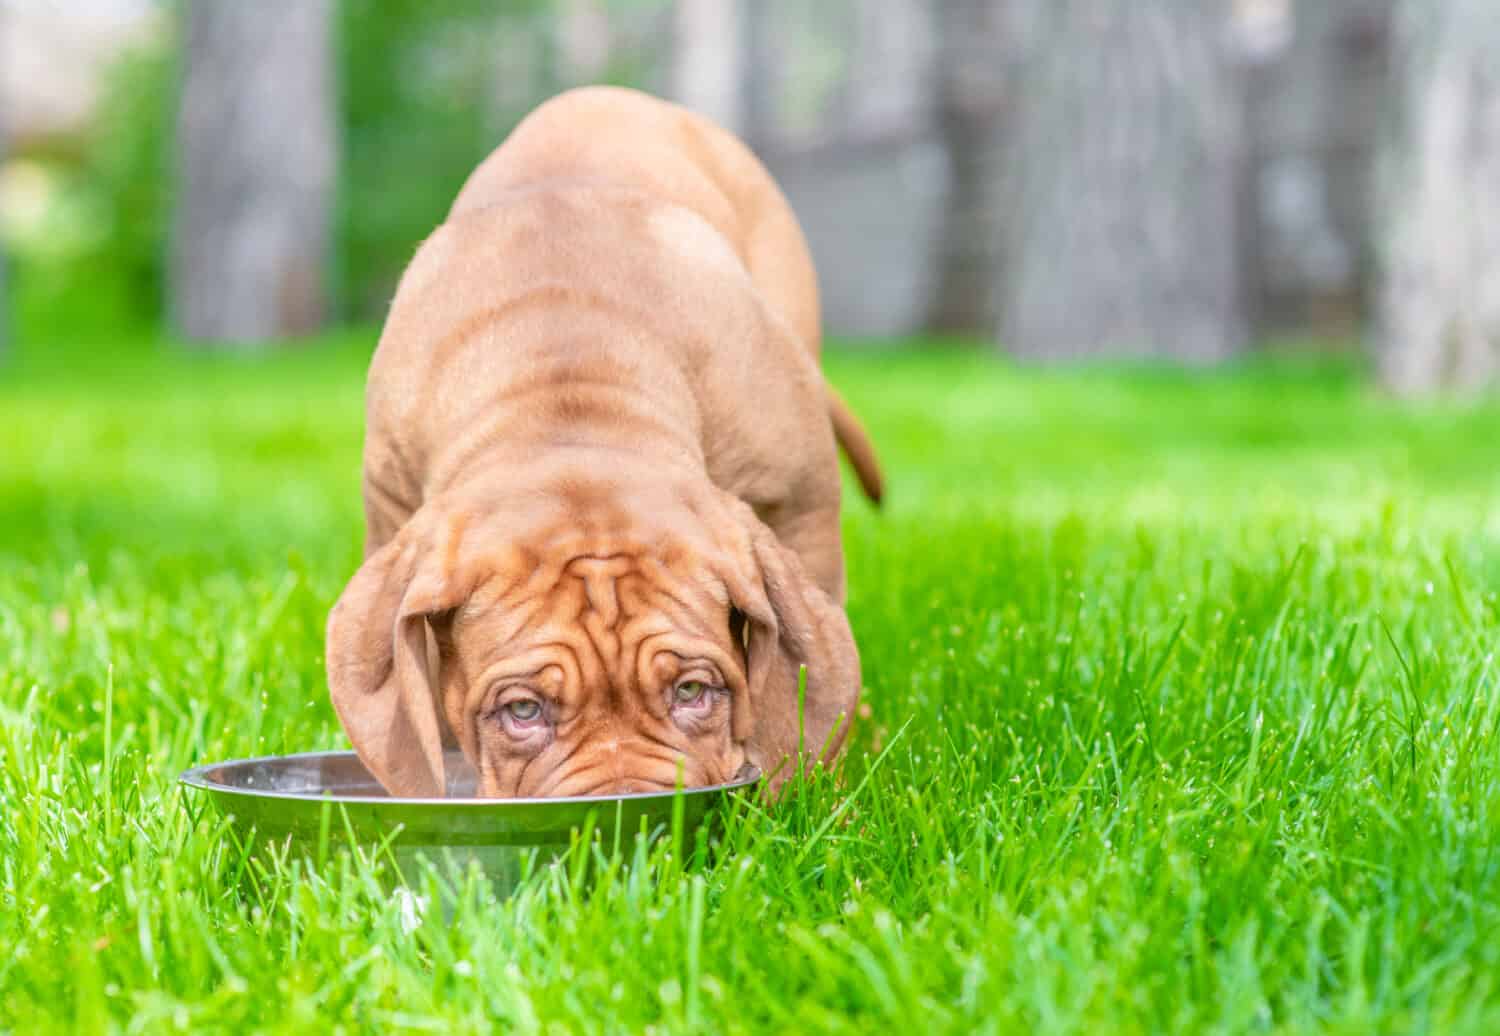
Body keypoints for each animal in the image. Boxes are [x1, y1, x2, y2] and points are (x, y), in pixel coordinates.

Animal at [325, 89, 876, 803]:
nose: (627, 811)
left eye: (692, 692)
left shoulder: (799, 503)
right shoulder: (391, 509)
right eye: (523, 710)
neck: (569, 393)